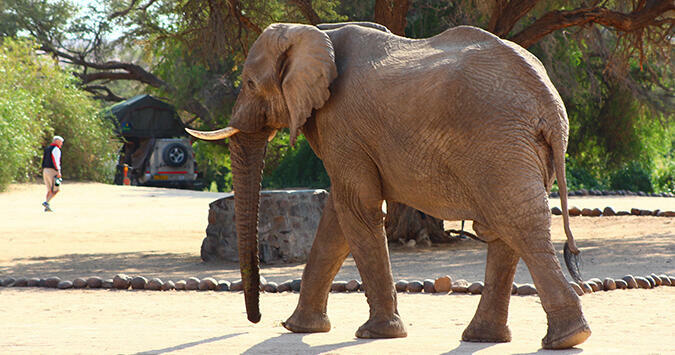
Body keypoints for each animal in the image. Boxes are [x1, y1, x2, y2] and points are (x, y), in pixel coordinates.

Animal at [189, 21, 592, 350]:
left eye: (249, 83)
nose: (255, 320)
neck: (317, 32)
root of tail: (548, 101)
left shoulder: (342, 123)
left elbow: (357, 208)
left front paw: (375, 334)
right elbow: (336, 217)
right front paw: (298, 327)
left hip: (499, 142)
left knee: (517, 222)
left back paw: (568, 338)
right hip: (518, 147)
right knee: (505, 227)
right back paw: (490, 337)